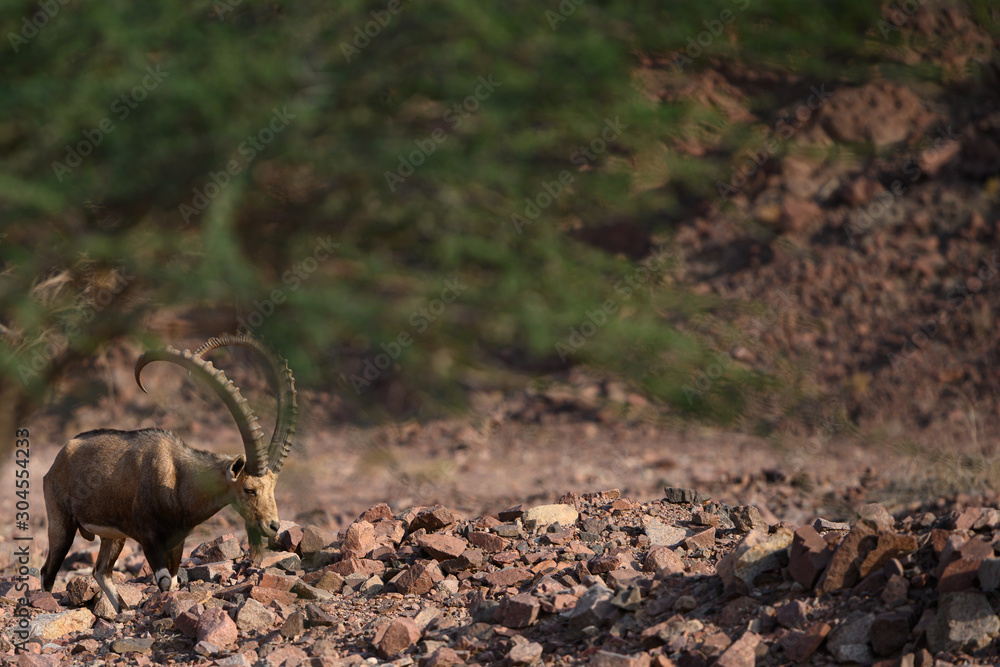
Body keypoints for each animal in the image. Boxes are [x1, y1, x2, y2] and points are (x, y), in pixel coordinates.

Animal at [41, 333, 297, 614]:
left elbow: (173, 581)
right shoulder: (148, 537)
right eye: (249, 489)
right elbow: (164, 581)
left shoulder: (177, 541)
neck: (178, 479)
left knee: (101, 571)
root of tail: (60, 458)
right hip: (61, 524)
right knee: (48, 572)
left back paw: (123, 611)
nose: (273, 526)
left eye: (272, 487)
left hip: (113, 536)